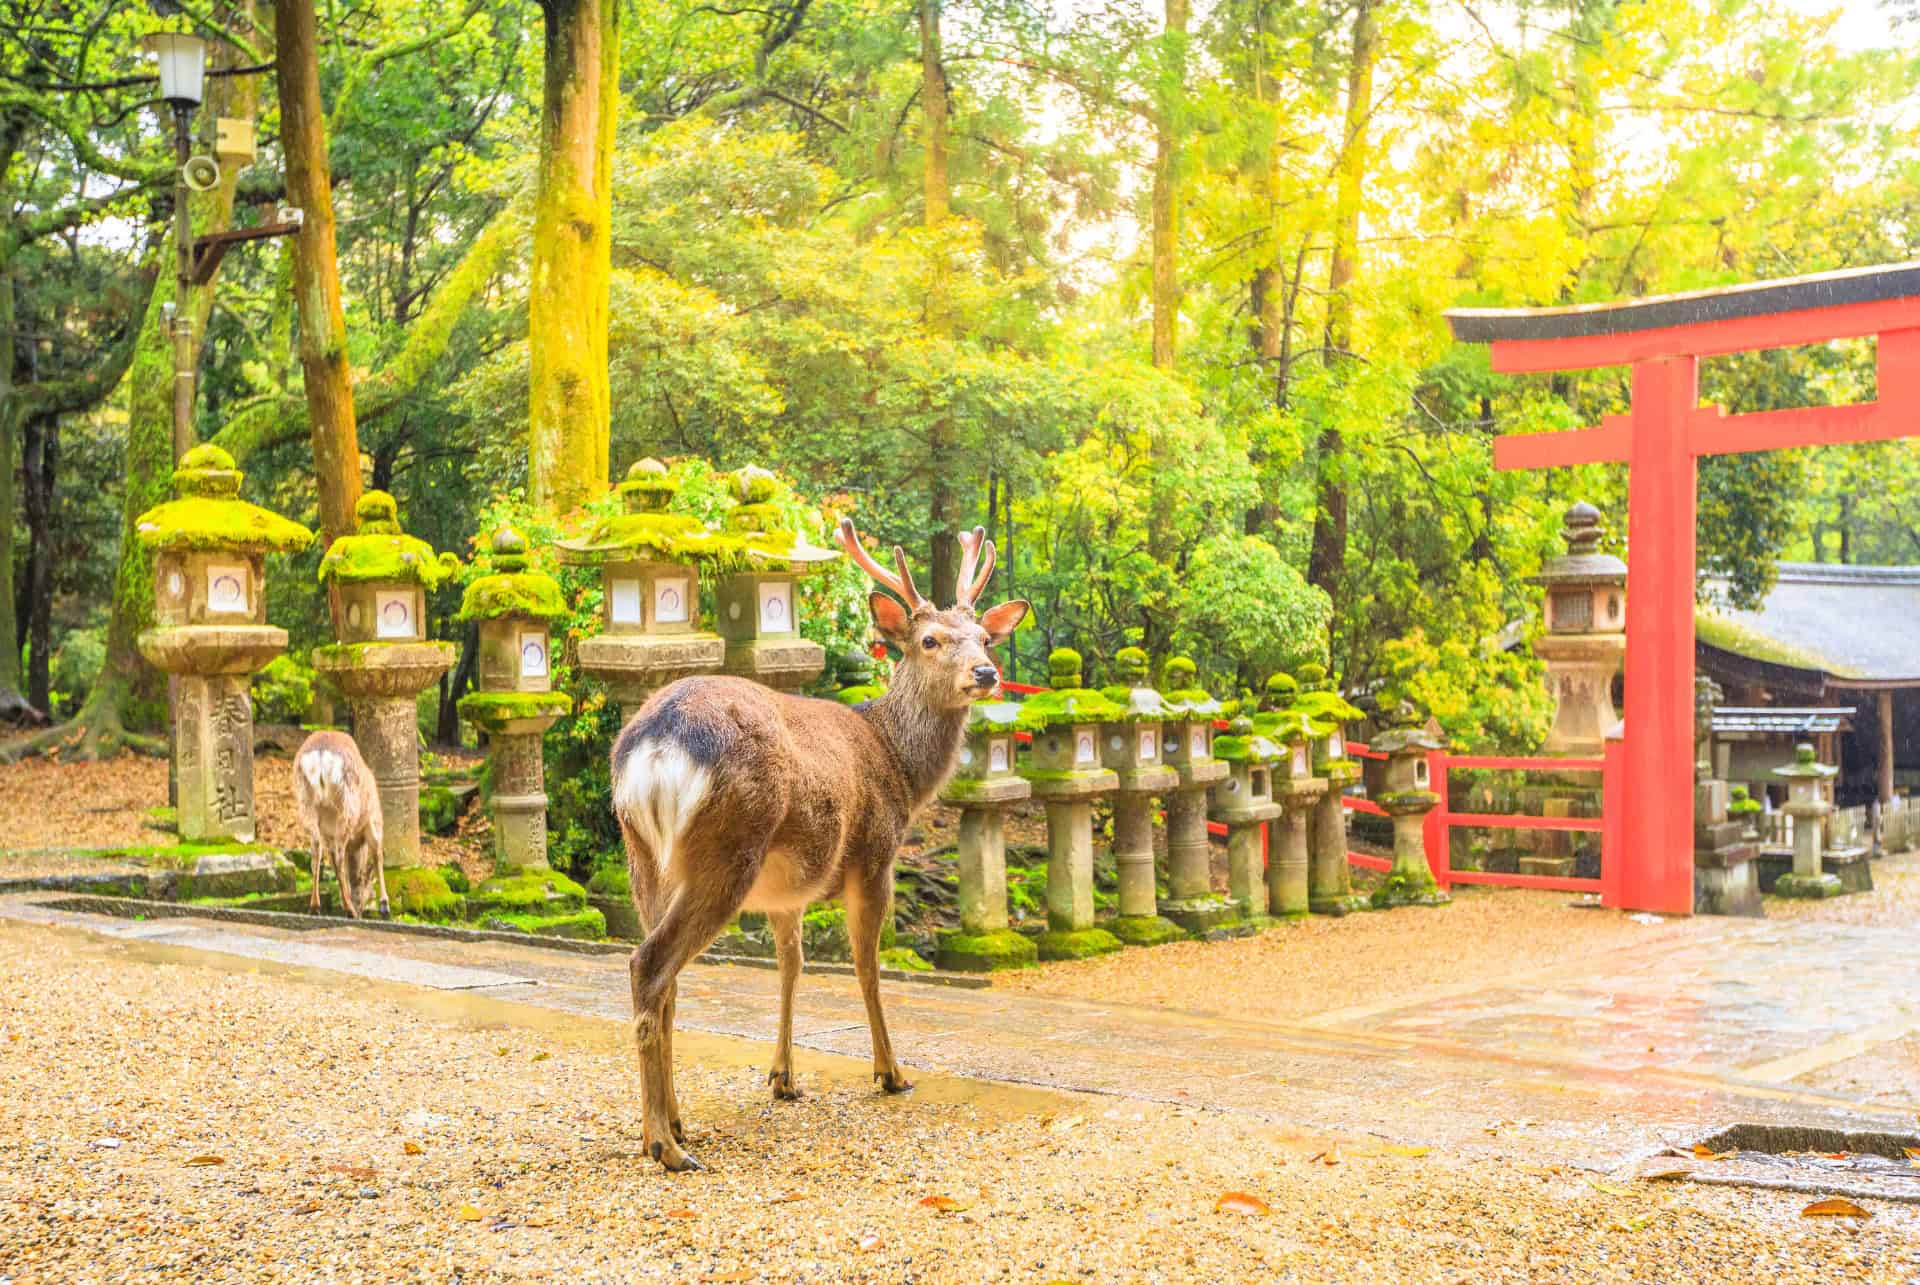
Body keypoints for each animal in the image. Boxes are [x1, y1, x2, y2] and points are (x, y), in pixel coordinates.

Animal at [292, 729, 388, 920]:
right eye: (368, 890)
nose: (361, 910)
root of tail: (321, 754)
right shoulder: (373, 819)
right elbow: (378, 855)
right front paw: (384, 905)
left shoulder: (328, 835)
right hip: (347, 804)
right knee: (339, 856)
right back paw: (348, 910)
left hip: (306, 803)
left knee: (316, 854)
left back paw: (315, 907)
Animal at [609, 519, 1028, 1171]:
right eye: (929, 640)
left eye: (985, 637)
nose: (985, 674)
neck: (900, 765)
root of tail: (656, 744)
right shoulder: (876, 853)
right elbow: (865, 966)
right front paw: (891, 1072)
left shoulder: (787, 891)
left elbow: (792, 965)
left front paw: (783, 1077)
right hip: (728, 847)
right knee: (649, 964)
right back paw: (664, 1144)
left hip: (643, 853)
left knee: (665, 975)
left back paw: (676, 1122)